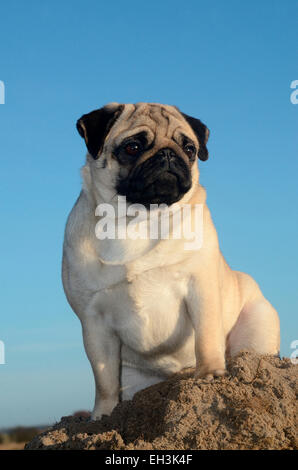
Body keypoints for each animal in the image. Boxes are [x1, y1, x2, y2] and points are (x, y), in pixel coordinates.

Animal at [61, 102, 280, 418]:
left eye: (189, 149)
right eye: (132, 147)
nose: (168, 154)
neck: (137, 219)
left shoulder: (200, 288)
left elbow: (206, 338)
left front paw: (209, 374)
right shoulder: (93, 321)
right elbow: (104, 379)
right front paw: (102, 415)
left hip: (256, 331)